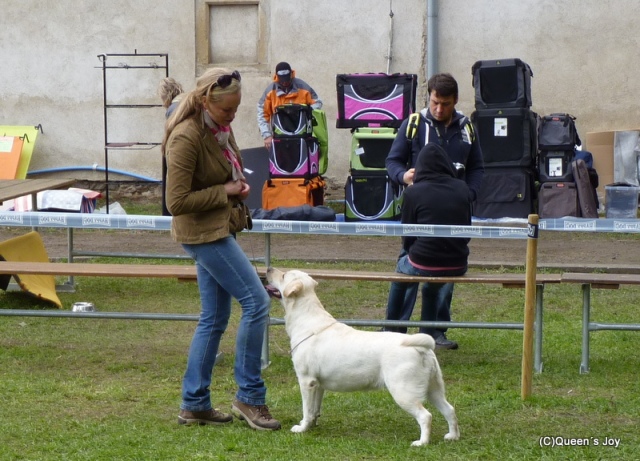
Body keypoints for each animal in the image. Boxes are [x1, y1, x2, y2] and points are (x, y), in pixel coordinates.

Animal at [265, 267, 460, 447]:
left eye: (283, 275)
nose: (268, 269)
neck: (306, 319)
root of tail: (422, 348)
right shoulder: (318, 384)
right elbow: (314, 409)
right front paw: (311, 426)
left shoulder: (307, 381)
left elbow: (306, 409)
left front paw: (302, 428)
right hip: (433, 388)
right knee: (449, 409)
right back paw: (453, 436)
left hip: (403, 391)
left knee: (426, 416)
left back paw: (421, 443)